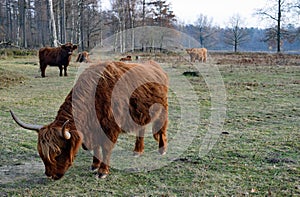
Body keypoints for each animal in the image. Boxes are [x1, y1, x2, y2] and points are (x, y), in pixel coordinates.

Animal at [9, 60, 169, 179]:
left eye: (58, 152)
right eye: (41, 153)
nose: (50, 175)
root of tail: (154, 65)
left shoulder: (110, 127)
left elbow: (105, 148)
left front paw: (102, 172)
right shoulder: (93, 129)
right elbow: (95, 148)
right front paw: (94, 166)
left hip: (162, 111)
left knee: (161, 128)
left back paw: (162, 150)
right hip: (140, 114)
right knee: (140, 130)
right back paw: (137, 151)